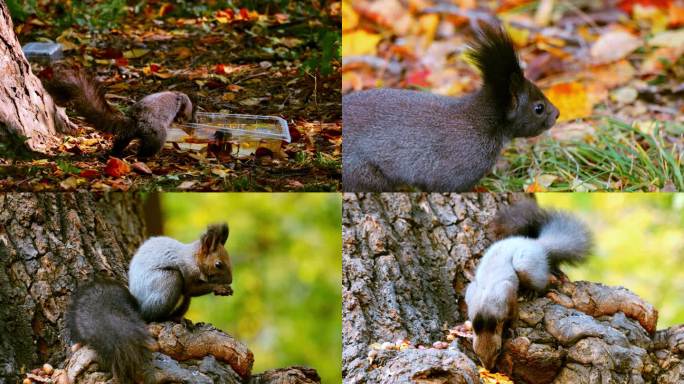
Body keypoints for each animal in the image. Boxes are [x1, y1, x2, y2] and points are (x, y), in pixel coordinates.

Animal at [41, 65, 194, 158]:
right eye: (186, 114)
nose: (184, 120)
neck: (177, 97)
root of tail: (134, 121)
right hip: (156, 134)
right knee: (146, 149)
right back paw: (145, 157)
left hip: (127, 135)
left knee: (120, 142)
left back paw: (113, 153)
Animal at [67, 224, 232, 382]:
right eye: (218, 264)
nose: (230, 280)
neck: (193, 257)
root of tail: (138, 307)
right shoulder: (188, 271)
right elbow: (191, 289)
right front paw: (219, 287)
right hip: (169, 280)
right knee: (154, 316)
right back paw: (171, 318)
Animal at [464, 200, 592, 368]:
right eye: (476, 352)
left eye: (498, 350)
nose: (489, 368)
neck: (485, 308)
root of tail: (537, 244)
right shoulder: (470, 293)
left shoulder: (507, 292)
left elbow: (513, 314)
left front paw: (511, 329)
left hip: (525, 266)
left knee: (543, 283)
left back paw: (535, 291)